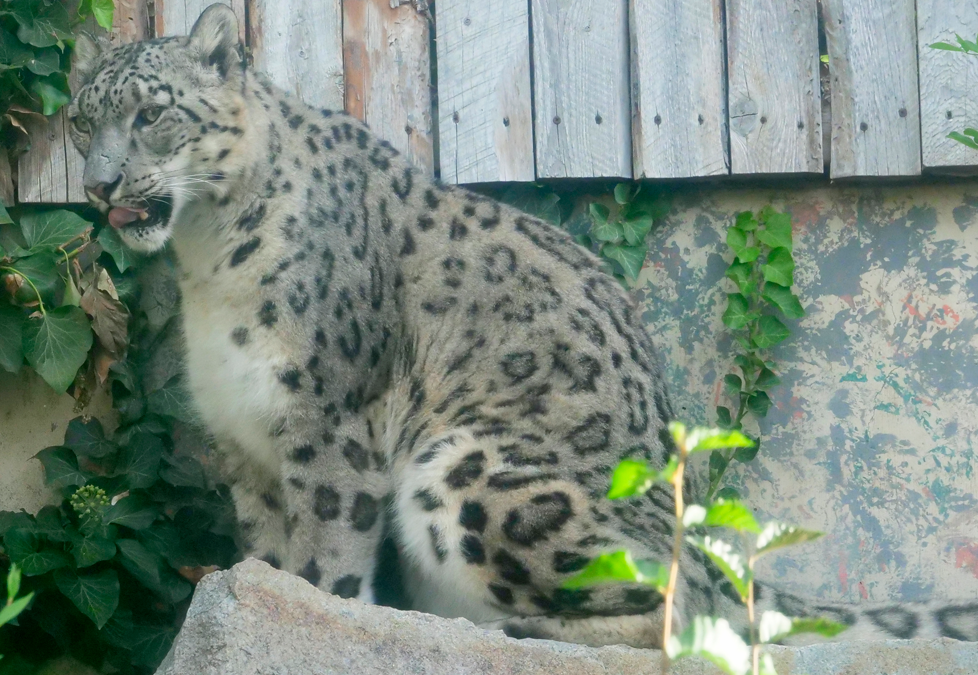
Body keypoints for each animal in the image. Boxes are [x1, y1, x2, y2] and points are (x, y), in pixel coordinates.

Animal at [67, 4, 978, 649]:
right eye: (83, 120)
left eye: (151, 114)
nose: (101, 183)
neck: (206, 256)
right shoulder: (247, 442)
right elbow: (266, 561)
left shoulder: (329, 423)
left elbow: (324, 564)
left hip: (471, 467)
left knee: (687, 613)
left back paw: (514, 627)